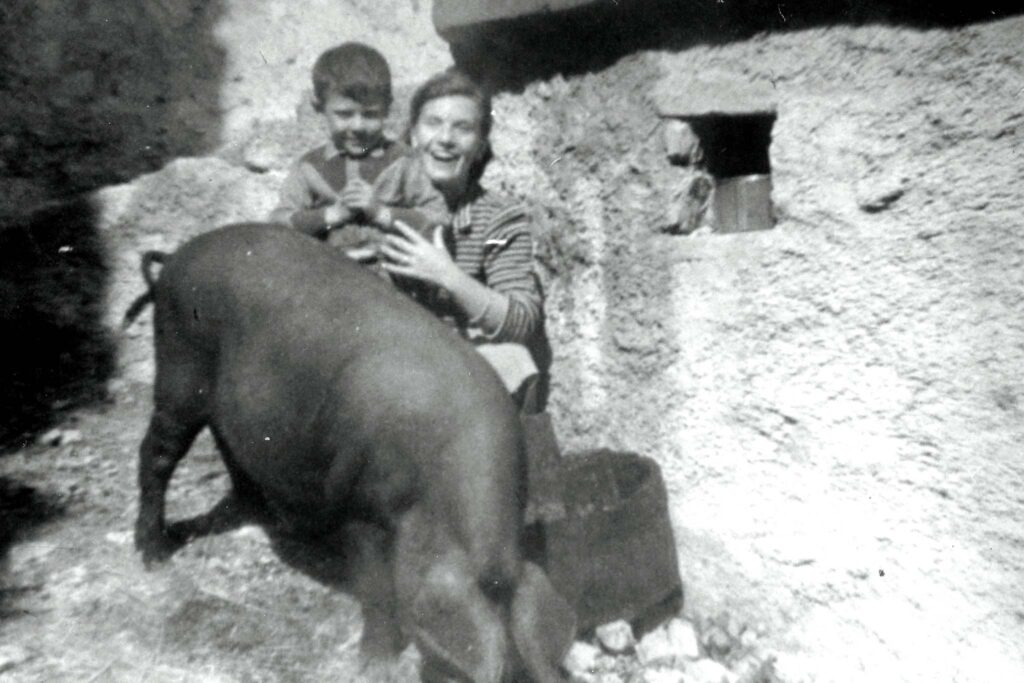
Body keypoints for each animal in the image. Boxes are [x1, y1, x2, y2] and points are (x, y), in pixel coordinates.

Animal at [123, 223, 573, 679]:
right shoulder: (359, 500)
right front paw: (374, 663)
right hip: (180, 367)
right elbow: (376, 586)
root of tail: (178, 255)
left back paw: (266, 518)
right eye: (461, 671)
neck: (434, 497)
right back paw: (154, 555)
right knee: (156, 454)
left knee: (230, 445)